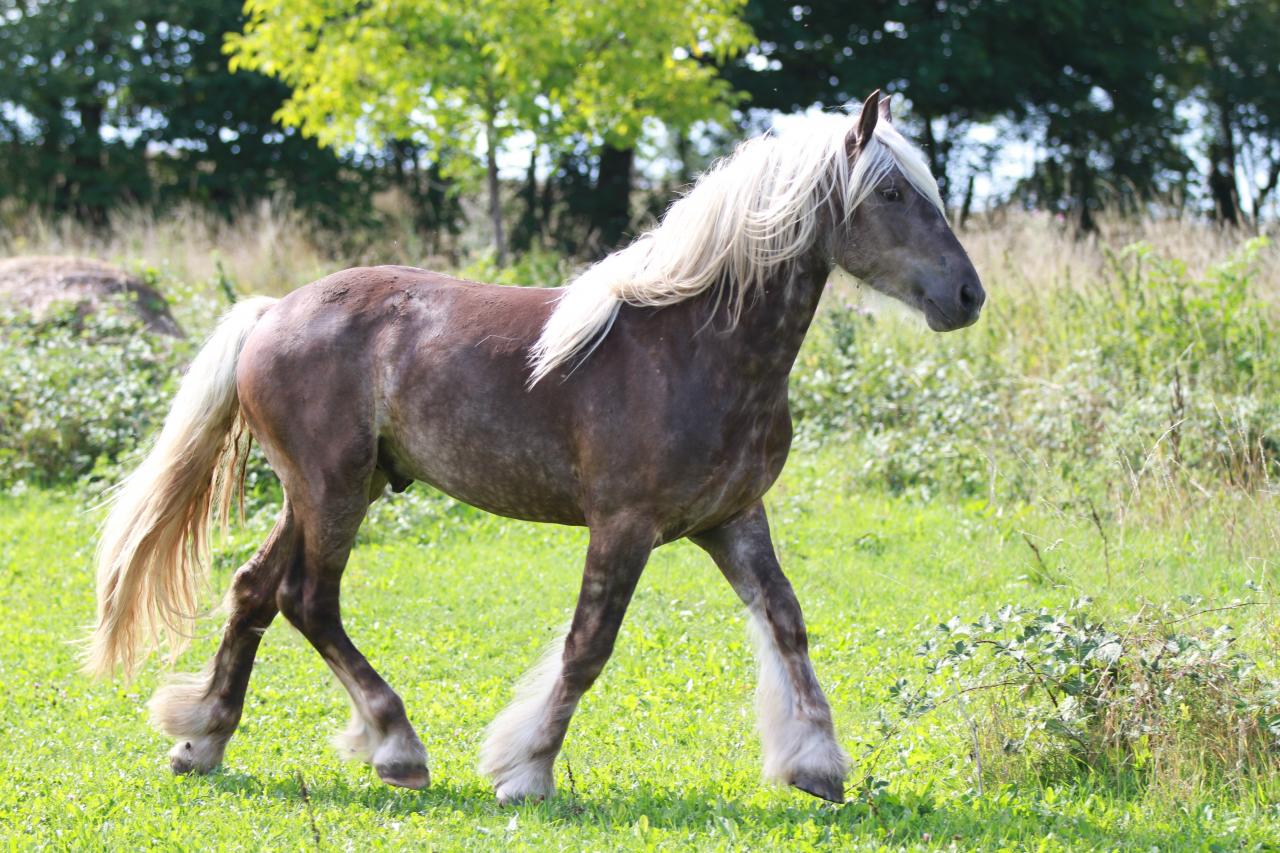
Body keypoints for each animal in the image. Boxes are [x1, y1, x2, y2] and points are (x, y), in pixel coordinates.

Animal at [90, 89, 983, 799]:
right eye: (893, 190)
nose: (967, 295)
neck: (697, 344)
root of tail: (271, 311)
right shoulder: (624, 524)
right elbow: (588, 646)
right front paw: (525, 769)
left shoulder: (732, 519)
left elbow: (787, 621)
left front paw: (817, 762)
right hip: (332, 486)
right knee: (308, 599)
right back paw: (397, 746)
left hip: (334, 488)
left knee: (252, 589)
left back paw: (203, 737)